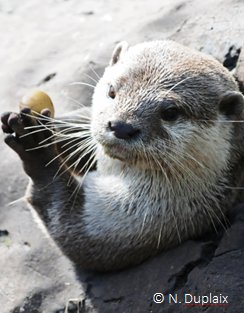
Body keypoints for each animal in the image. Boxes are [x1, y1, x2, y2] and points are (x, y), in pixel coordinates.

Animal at [1, 40, 244, 270]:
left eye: (170, 112)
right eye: (112, 91)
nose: (121, 126)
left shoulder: (149, 219)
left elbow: (73, 232)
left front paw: (35, 147)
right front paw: (43, 122)